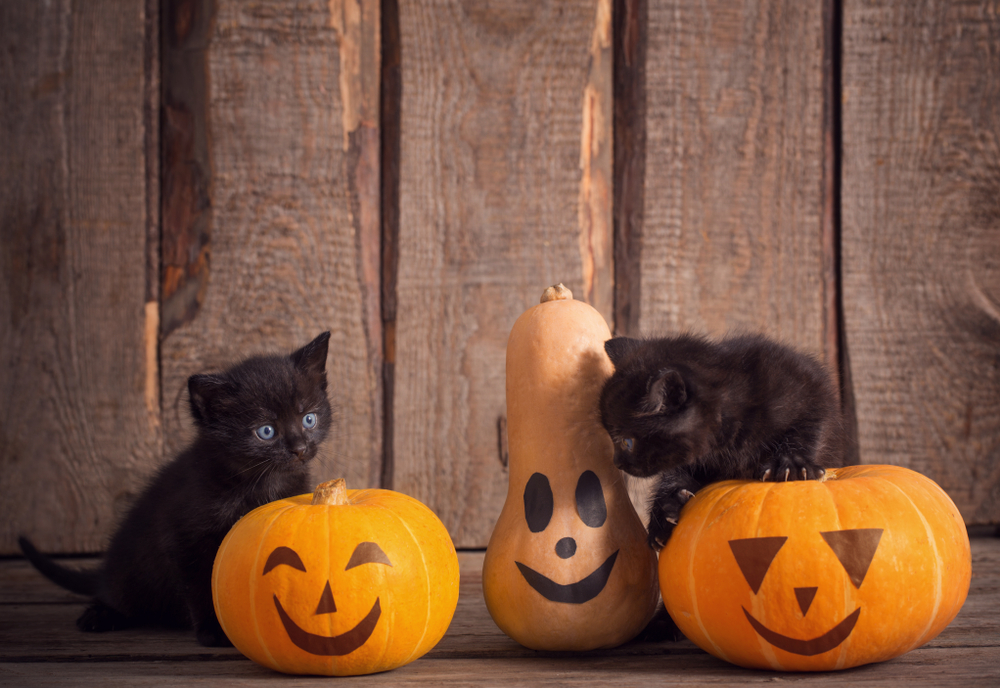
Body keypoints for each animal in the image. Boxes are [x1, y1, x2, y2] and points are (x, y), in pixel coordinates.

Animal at [19, 332, 334, 644]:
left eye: (309, 419)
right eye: (266, 431)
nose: (300, 448)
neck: (260, 481)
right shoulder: (186, 538)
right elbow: (201, 585)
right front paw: (214, 630)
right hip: (131, 574)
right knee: (116, 594)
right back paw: (100, 615)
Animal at [600, 330, 844, 552]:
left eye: (627, 442)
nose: (616, 463)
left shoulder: (811, 389)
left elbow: (810, 428)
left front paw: (792, 464)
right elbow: (675, 475)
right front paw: (664, 510)